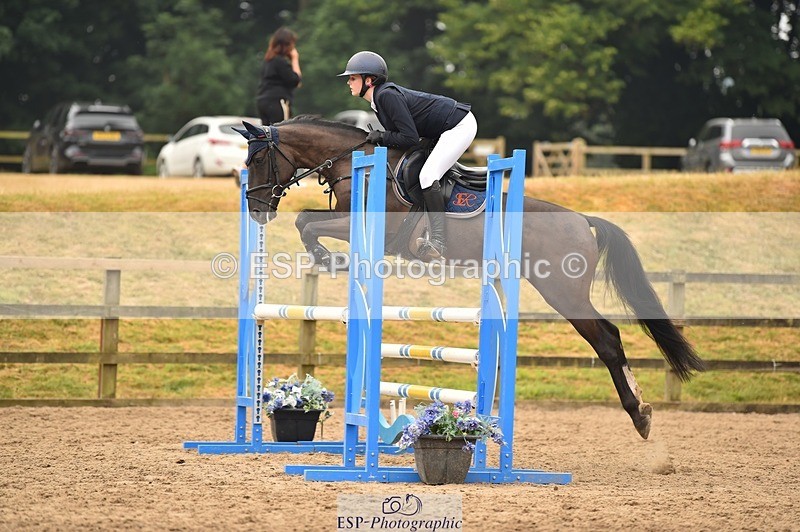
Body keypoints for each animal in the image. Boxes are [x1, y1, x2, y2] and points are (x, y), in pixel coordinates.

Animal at [237, 116, 705, 440]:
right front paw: (328, 259)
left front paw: (329, 259)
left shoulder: (375, 228)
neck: (355, 164)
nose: (256, 210)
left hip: (563, 291)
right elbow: (306, 220)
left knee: (607, 338)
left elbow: (305, 222)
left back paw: (640, 414)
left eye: (258, 159)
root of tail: (581, 220)